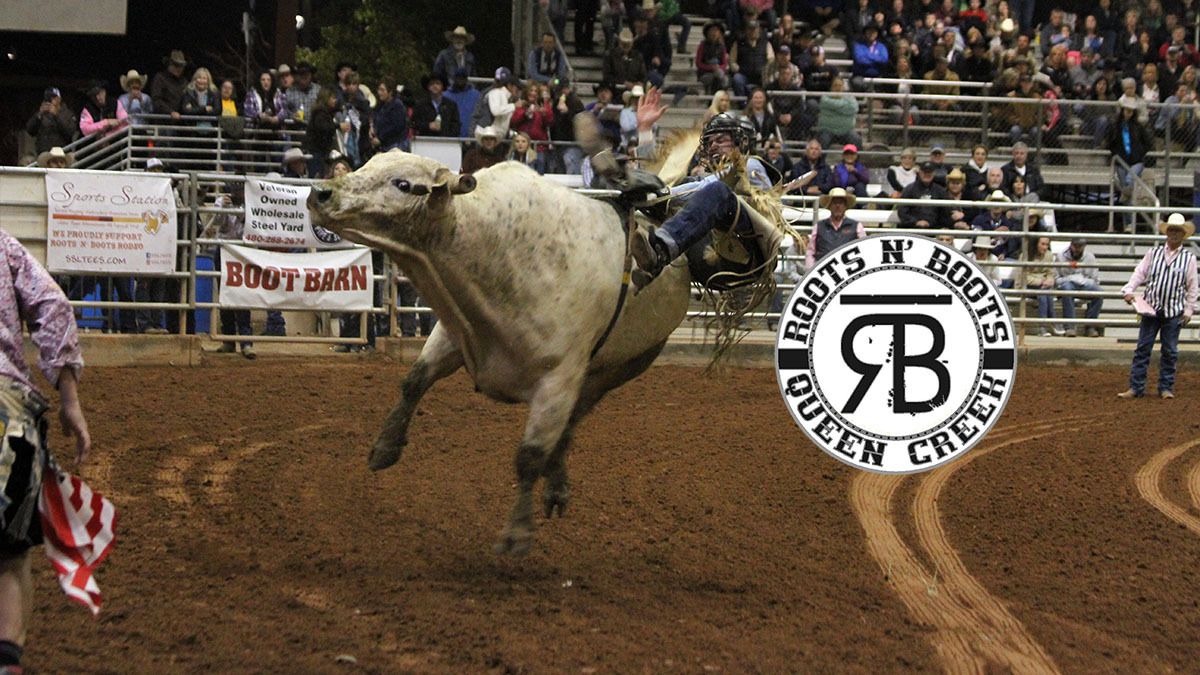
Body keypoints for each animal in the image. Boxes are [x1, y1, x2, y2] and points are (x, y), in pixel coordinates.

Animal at [309, 126, 796, 552]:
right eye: (368, 163)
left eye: (403, 183)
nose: (320, 193)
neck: (487, 241)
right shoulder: (455, 330)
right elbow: (414, 381)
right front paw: (384, 448)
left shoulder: (558, 377)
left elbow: (529, 455)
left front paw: (517, 535)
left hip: (620, 365)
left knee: (574, 421)